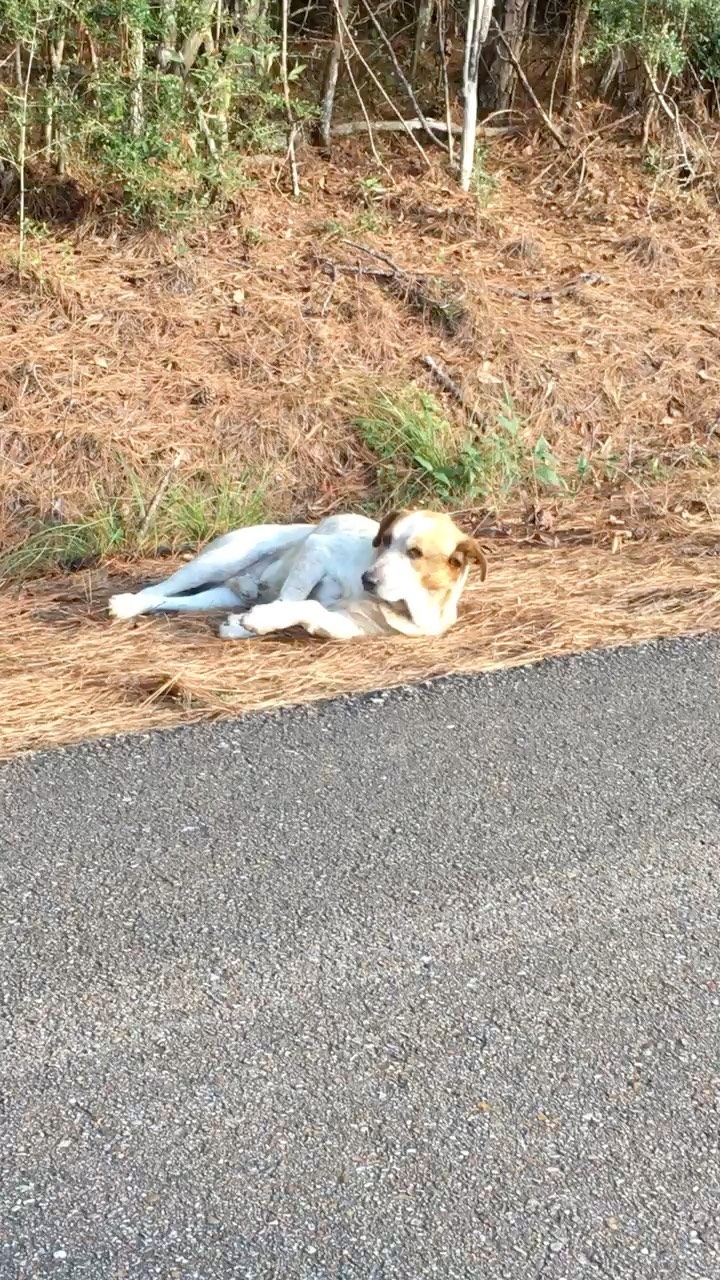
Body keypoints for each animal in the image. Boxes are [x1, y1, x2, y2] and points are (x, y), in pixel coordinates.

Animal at [107, 506, 486, 640]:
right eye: (386, 540)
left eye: (415, 553)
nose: (367, 579)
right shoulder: (317, 551)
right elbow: (293, 600)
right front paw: (256, 622)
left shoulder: (343, 626)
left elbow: (308, 608)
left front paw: (249, 623)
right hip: (225, 558)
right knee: (158, 589)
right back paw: (125, 604)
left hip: (214, 595)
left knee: (172, 600)